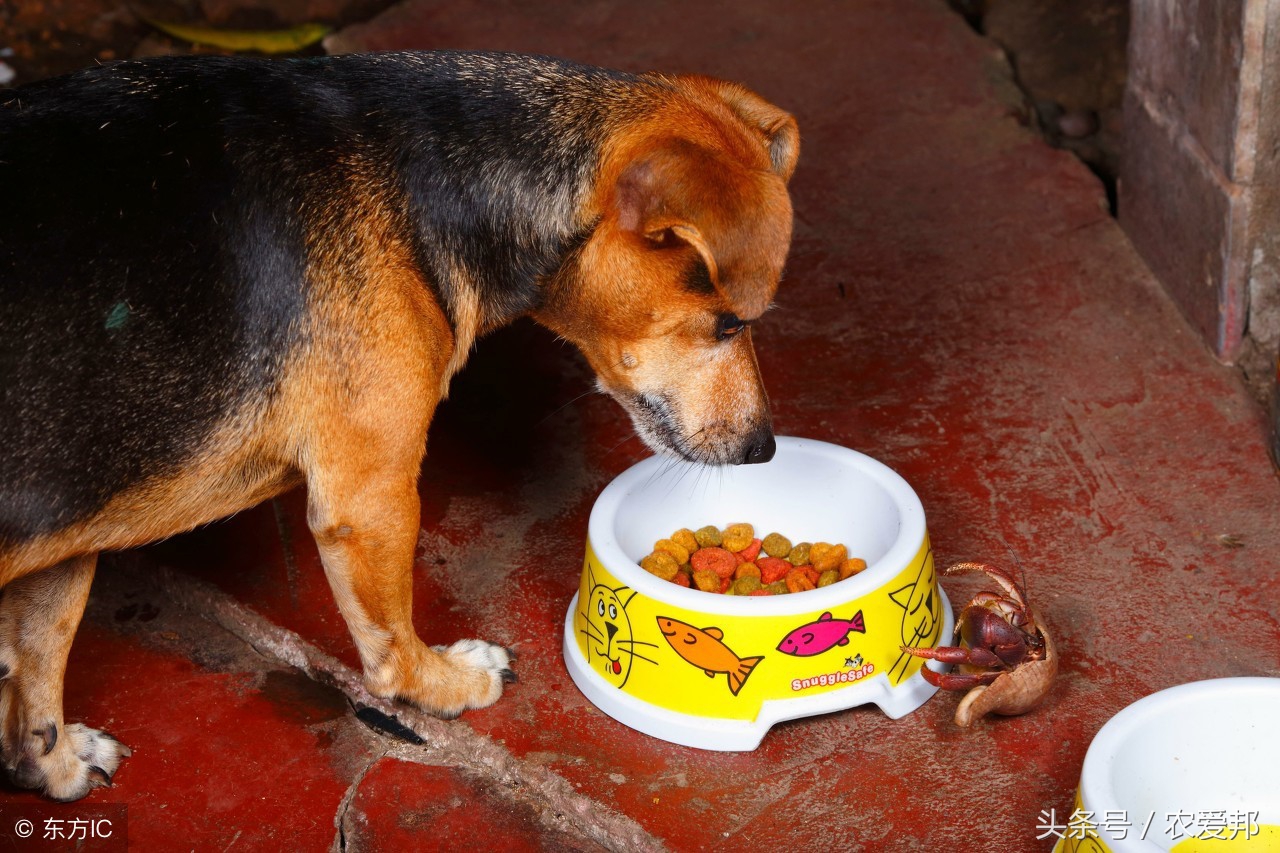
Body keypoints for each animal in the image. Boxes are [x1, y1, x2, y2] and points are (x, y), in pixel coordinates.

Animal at [0, 51, 793, 799]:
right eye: (728, 324)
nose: (764, 450)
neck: (425, 178)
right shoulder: (369, 500)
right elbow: (390, 644)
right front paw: (446, 683)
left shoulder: (64, 535)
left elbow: (34, 680)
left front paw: (53, 766)